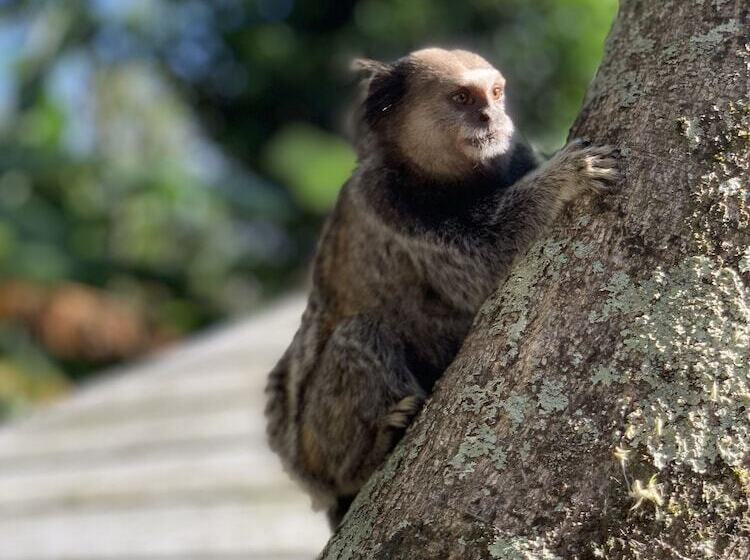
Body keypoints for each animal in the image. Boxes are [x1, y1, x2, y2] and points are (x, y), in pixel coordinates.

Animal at [264, 48, 624, 528]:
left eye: (495, 93)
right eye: (462, 98)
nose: (491, 116)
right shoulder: (392, 205)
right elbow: (485, 266)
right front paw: (566, 175)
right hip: (314, 444)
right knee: (359, 334)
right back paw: (372, 452)